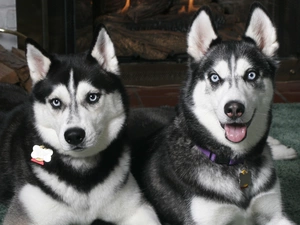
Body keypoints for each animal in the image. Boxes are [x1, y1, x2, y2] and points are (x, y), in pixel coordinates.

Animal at [0, 26, 159, 225]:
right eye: (56, 102)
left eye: (92, 97)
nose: (74, 135)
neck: (82, 173)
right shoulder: (23, 216)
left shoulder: (137, 208)